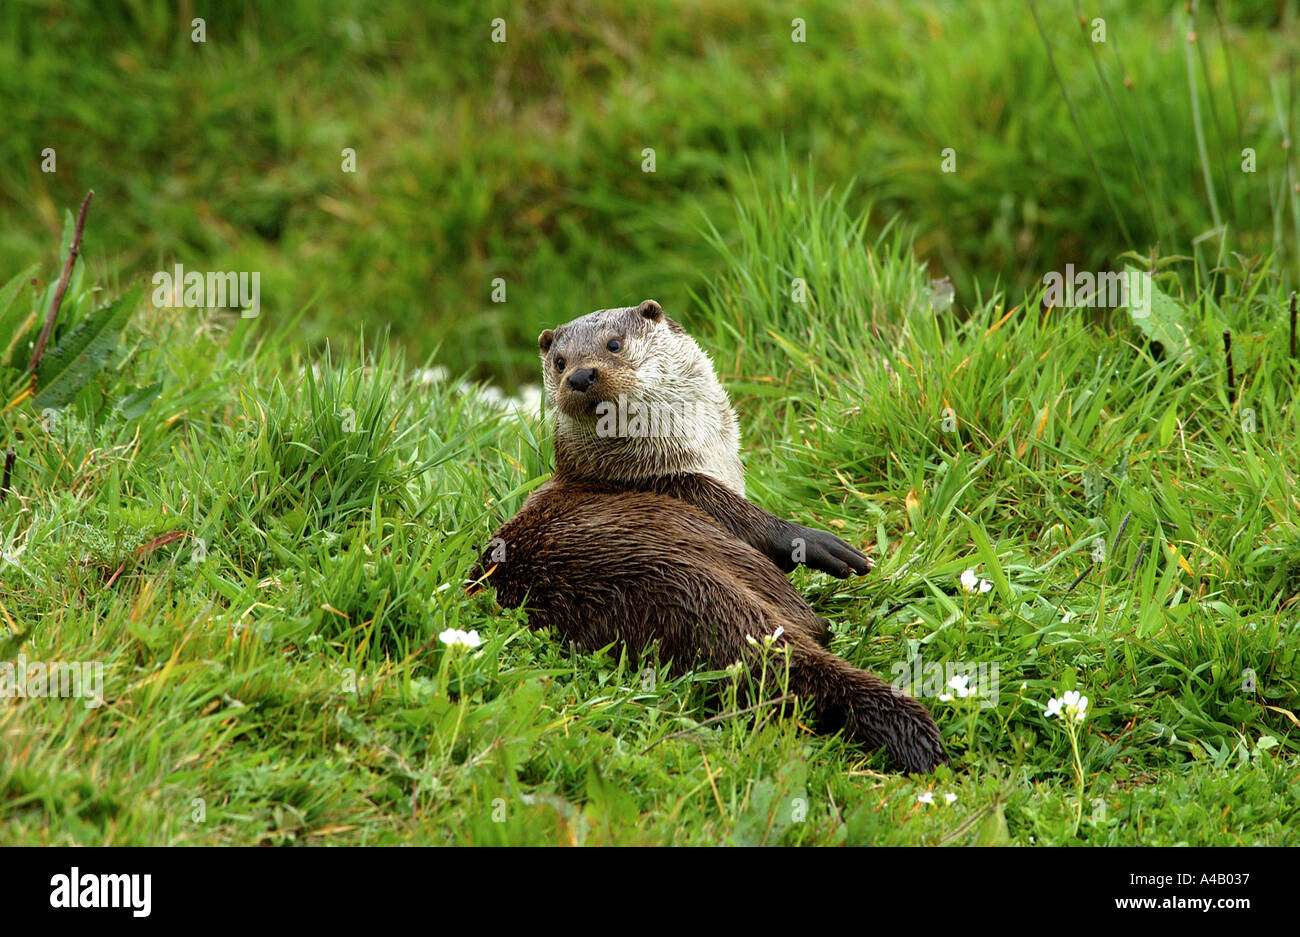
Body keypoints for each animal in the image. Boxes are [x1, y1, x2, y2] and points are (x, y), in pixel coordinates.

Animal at [475, 297, 946, 769]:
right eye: (559, 361)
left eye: (614, 344)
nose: (579, 375)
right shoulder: (690, 489)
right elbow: (753, 523)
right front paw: (813, 542)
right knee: (814, 629)